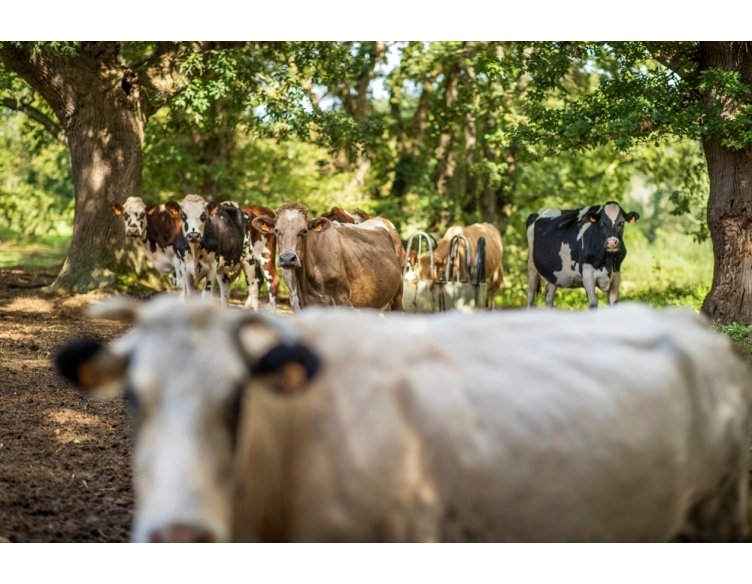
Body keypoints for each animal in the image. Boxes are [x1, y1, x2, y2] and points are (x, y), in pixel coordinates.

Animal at [253, 202, 406, 310]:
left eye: (304, 230)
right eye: (276, 230)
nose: (287, 258)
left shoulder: (343, 299)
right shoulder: (298, 302)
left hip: (397, 295)